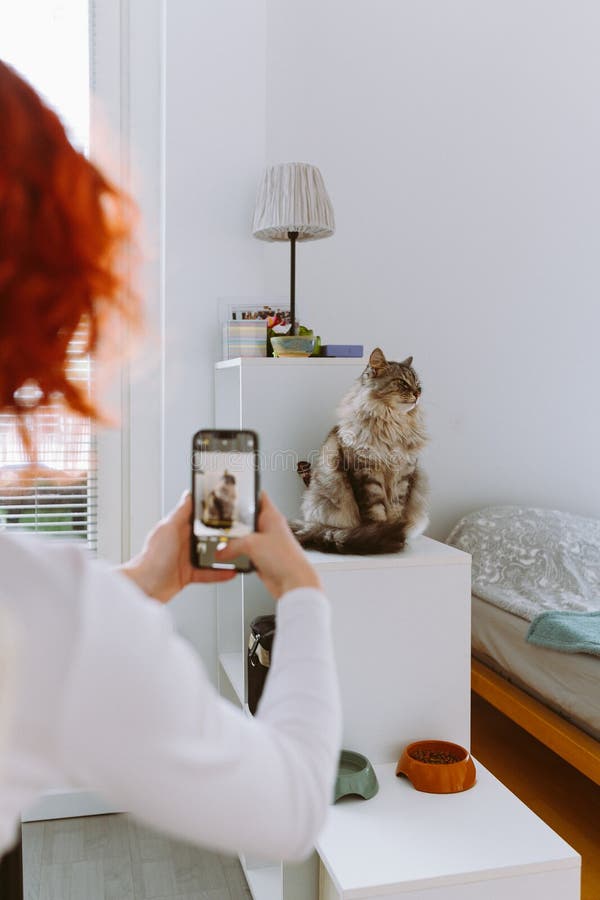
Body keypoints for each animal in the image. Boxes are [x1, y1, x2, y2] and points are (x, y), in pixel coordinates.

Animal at [292, 346, 428, 552]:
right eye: (403, 383)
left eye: (418, 386)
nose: (418, 394)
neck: (393, 425)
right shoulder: (366, 473)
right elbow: (375, 512)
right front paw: (385, 534)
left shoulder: (403, 475)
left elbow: (396, 509)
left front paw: (398, 533)